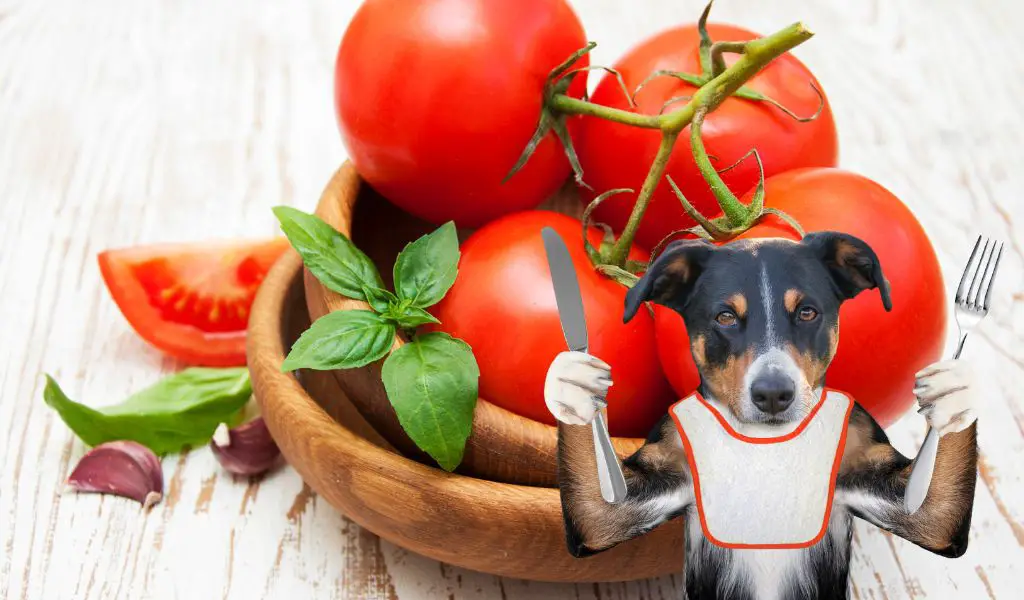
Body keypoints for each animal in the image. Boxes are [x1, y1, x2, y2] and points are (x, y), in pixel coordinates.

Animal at [544, 231, 974, 593]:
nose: (773, 394)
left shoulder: (890, 485)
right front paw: (572, 380)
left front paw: (956, 387)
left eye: (807, 312)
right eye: (725, 317)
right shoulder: (625, 503)